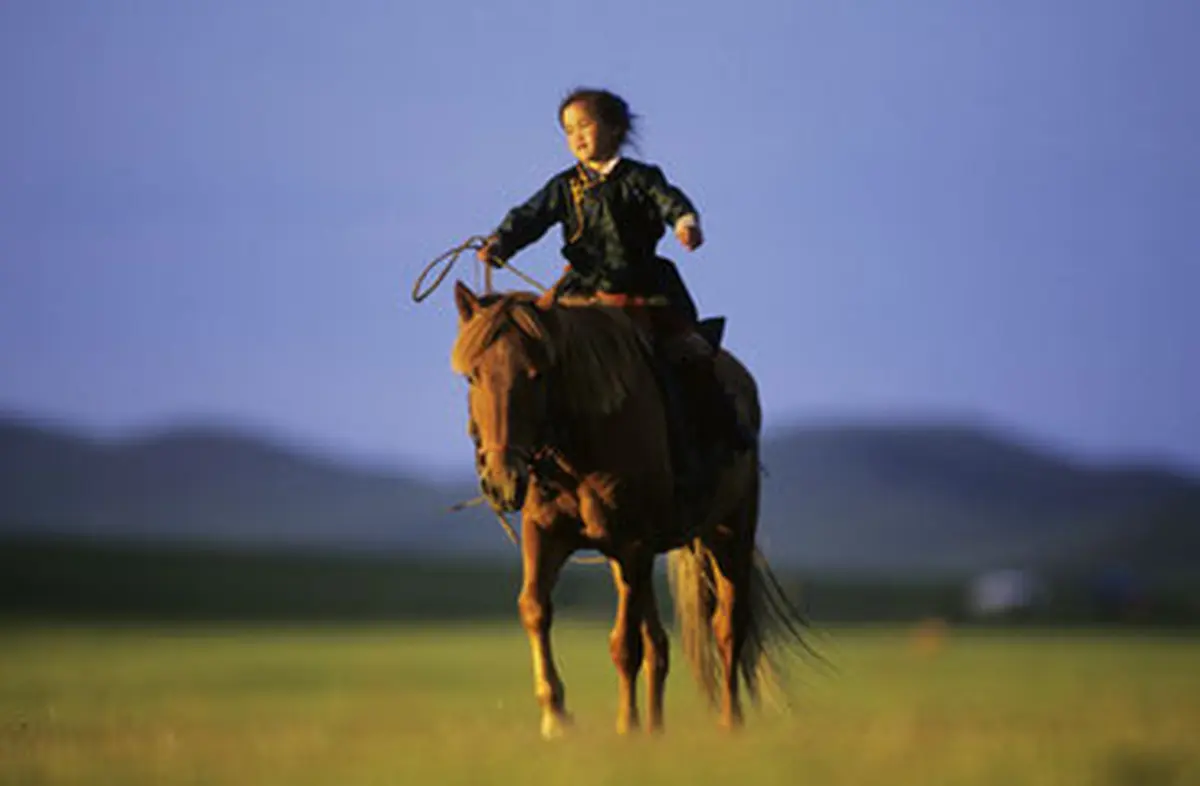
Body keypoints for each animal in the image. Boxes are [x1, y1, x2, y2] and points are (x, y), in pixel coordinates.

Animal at [449, 280, 809, 737]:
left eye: (537, 374)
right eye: (472, 375)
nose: (501, 480)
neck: (583, 442)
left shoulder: (631, 544)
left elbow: (625, 644)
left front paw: (626, 726)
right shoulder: (547, 535)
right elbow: (534, 609)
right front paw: (556, 716)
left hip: (728, 533)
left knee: (728, 626)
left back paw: (729, 723)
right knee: (660, 643)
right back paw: (657, 726)